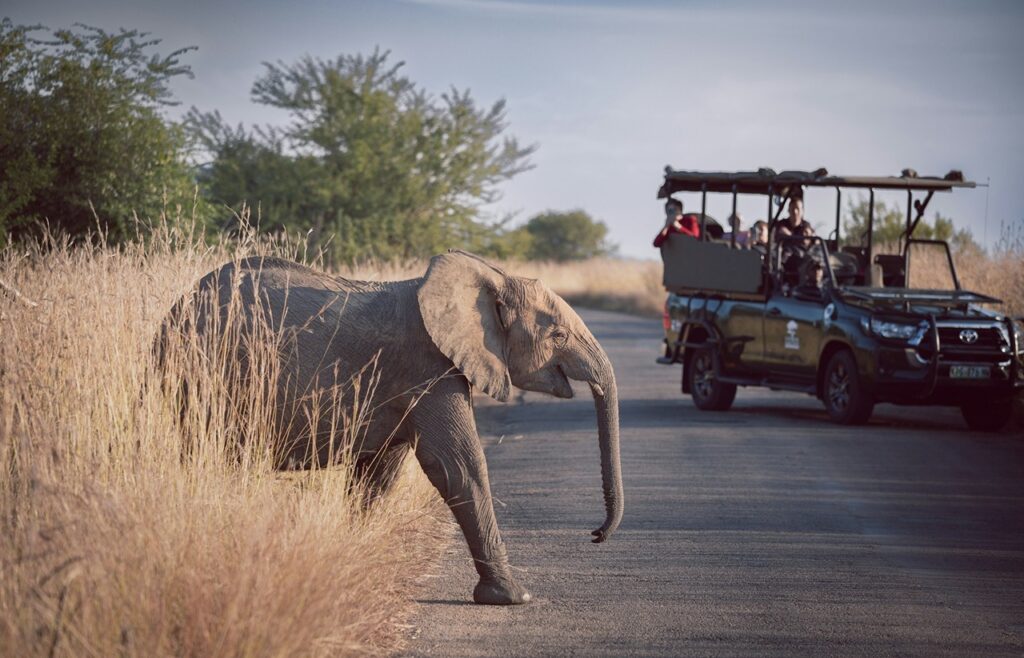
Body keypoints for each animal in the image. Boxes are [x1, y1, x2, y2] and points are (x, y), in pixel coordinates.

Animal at [158, 250, 623, 605]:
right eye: (558, 334)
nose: (595, 535)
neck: (488, 276)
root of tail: (173, 312)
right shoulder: (428, 366)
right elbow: (457, 465)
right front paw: (512, 598)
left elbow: (379, 472)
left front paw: (352, 560)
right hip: (203, 375)